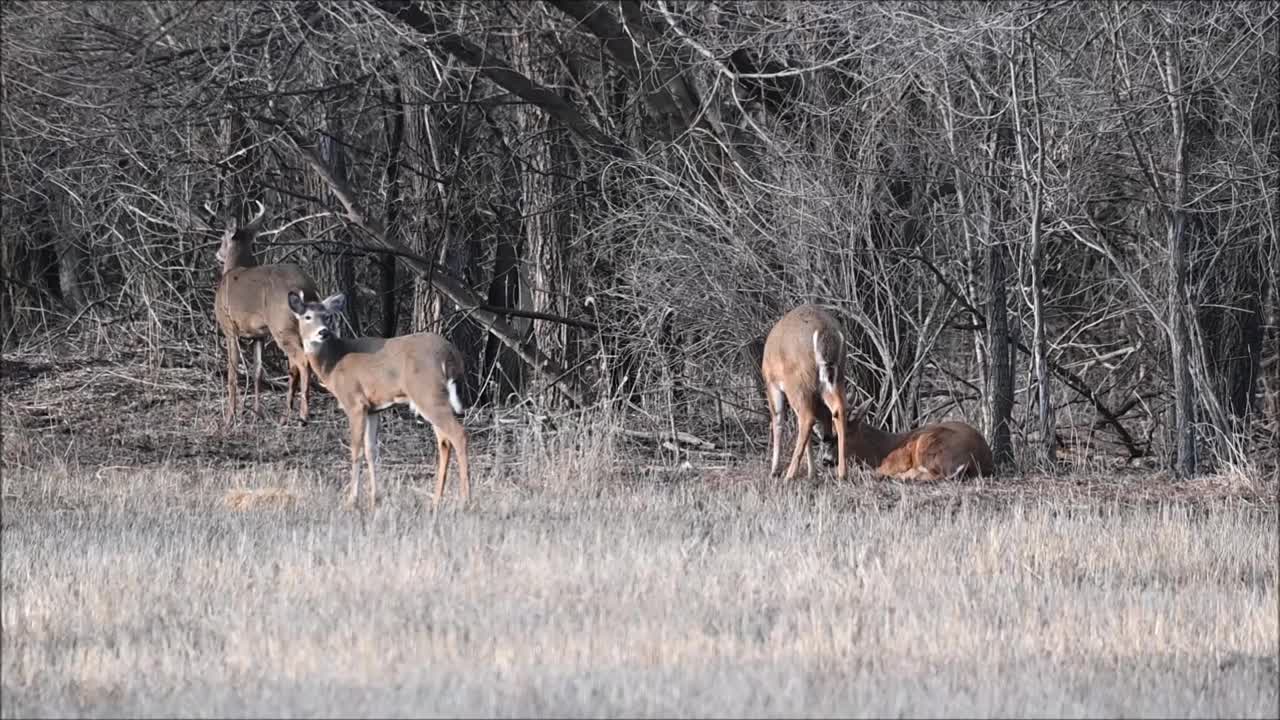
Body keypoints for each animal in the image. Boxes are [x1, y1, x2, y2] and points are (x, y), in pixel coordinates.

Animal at [212, 198, 317, 425]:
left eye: (222, 238)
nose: (217, 254)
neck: (233, 269)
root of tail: (305, 289)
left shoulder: (229, 327)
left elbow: (232, 373)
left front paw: (230, 416)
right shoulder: (258, 335)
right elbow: (258, 372)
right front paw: (256, 413)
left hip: (282, 326)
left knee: (303, 361)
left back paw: (303, 415)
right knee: (294, 366)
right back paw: (286, 415)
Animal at [288, 288, 473, 507]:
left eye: (327, 316)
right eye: (307, 317)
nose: (323, 332)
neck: (333, 364)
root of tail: (452, 353)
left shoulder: (354, 402)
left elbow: (356, 449)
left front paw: (352, 500)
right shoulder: (373, 409)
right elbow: (371, 451)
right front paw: (375, 498)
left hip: (428, 393)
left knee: (458, 434)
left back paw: (465, 499)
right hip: (433, 397)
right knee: (444, 441)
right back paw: (436, 499)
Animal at [757, 299, 849, 479]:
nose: (829, 461)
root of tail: (825, 330)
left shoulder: (772, 383)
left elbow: (778, 420)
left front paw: (774, 470)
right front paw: (812, 473)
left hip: (797, 383)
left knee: (806, 418)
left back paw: (789, 475)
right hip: (836, 376)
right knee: (838, 409)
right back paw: (842, 473)